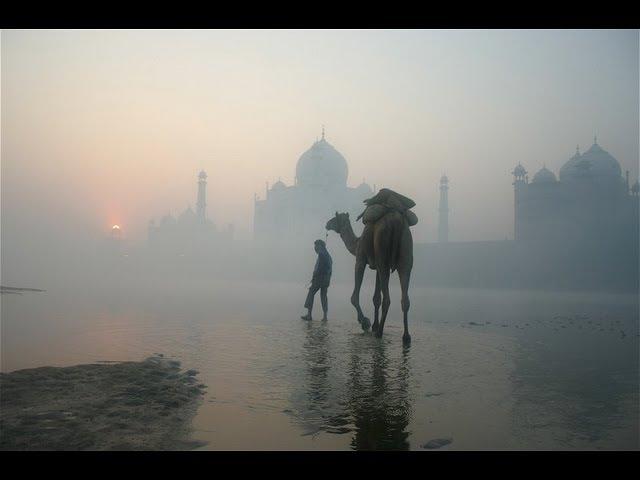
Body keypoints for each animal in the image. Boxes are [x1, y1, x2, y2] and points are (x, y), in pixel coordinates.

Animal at [324, 210, 416, 344]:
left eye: (335, 218)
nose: (327, 224)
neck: (356, 243)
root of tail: (397, 221)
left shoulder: (360, 260)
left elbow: (354, 296)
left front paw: (365, 322)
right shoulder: (377, 267)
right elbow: (376, 298)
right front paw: (374, 325)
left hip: (382, 247)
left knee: (387, 299)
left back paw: (379, 333)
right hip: (405, 251)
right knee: (404, 297)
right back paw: (406, 336)